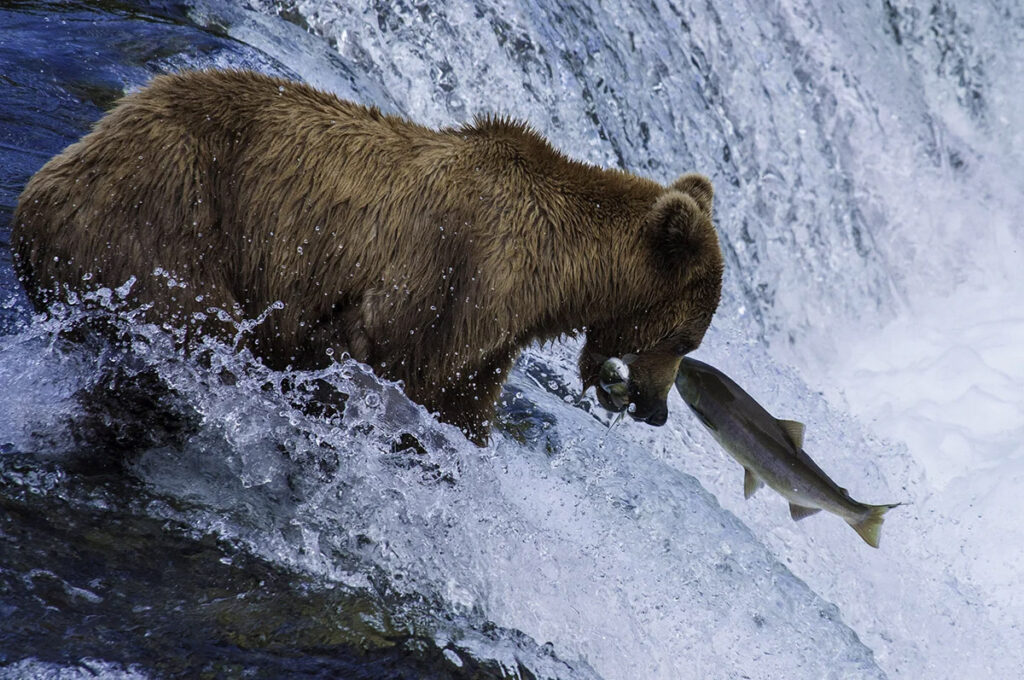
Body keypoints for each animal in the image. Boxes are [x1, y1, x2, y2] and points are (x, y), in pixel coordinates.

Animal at [12, 69, 723, 446]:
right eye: (683, 340)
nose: (656, 409)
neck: (556, 277)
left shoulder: (485, 343)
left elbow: (460, 405)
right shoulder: (452, 277)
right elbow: (377, 354)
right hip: (163, 225)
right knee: (192, 326)